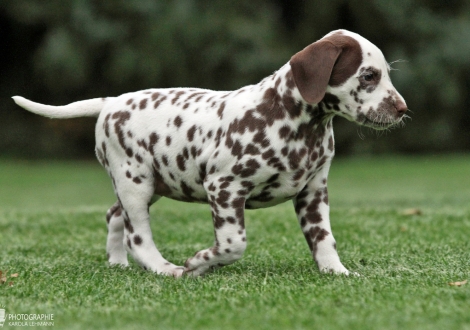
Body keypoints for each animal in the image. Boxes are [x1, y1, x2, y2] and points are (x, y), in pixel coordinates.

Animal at [12, 29, 406, 278]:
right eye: (368, 76)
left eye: (385, 74)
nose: (402, 110)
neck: (292, 120)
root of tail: (111, 103)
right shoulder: (225, 187)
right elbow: (234, 243)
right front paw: (200, 262)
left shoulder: (313, 191)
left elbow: (323, 238)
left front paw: (336, 271)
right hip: (135, 184)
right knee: (137, 236)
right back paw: (164, 269)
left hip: (151, 184)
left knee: (114, 217)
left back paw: (118, 263)